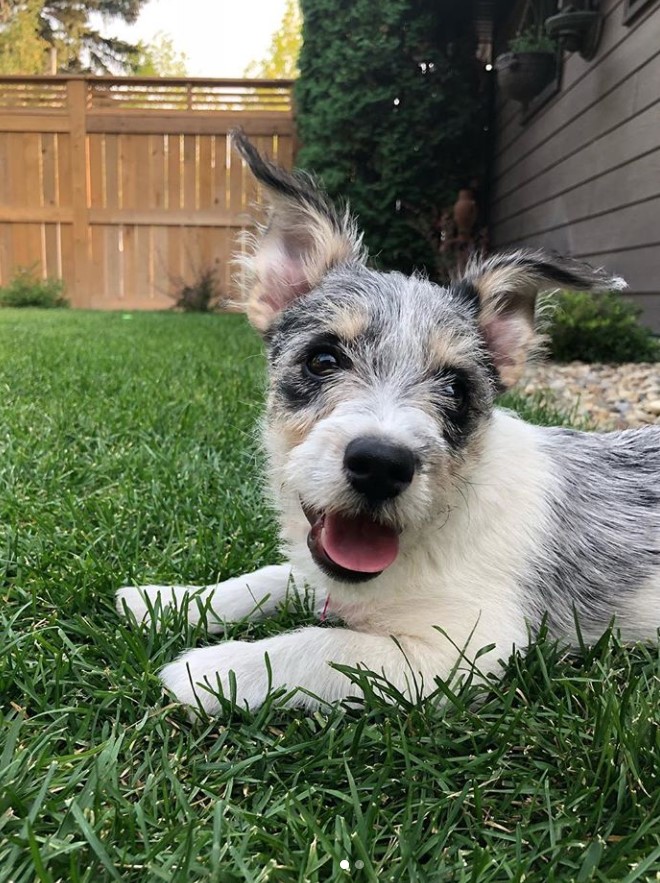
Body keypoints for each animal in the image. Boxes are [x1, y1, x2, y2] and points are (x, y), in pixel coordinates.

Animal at [117, 133, 660, 720]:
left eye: (456, 390)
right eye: (323, 360)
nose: (381, 465)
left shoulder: (464, 651)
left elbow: (324, 645)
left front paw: (211, 670)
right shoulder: (325, 571)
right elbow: (272, 576)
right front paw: (168, 599)